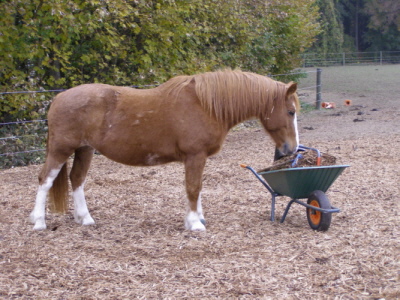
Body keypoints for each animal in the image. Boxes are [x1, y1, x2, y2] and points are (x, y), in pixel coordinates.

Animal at [30, 69, 300, 231]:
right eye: (290, 111)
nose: (291, 149)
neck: (205, 105)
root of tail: (58, 99)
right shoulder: (195, 156)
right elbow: (193, 188)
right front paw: (195, 223)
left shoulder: (198, 158)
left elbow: (197, 188)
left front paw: (197, 217)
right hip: (61, 149)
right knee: (45, 180)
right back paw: (39, 221)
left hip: (85, 149)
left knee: (77, 179)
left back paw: (85, 218)